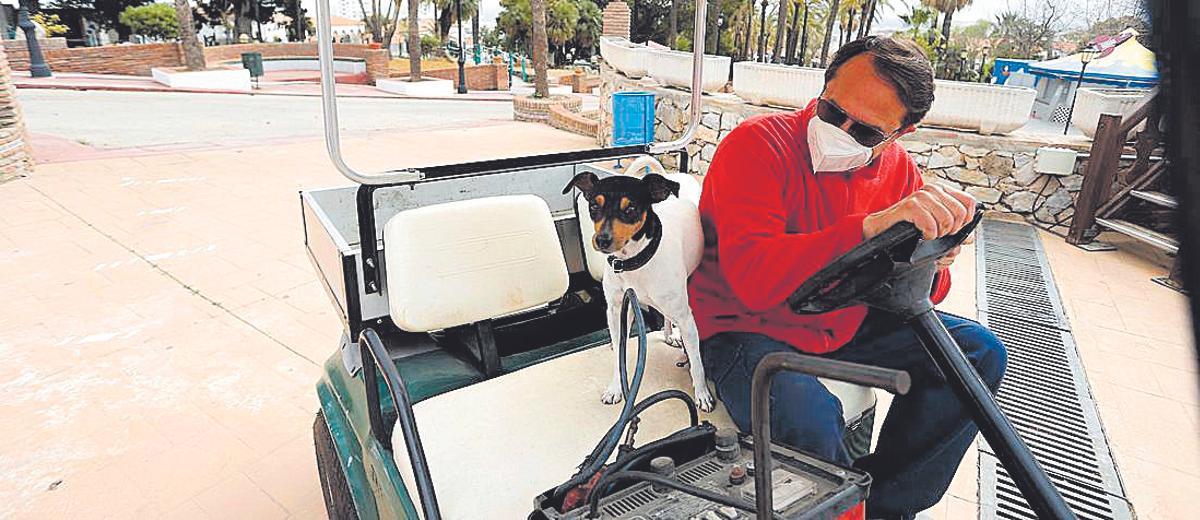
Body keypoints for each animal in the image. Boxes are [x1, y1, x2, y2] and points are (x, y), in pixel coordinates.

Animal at [561, 157, 710, 408]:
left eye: (630, 209)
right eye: (593, 207)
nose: (602, 240)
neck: (632, 263)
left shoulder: (686, 318)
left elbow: (697, 360)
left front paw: (702, 394)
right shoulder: (617, 310)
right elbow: (618, 355)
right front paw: (615, 388)